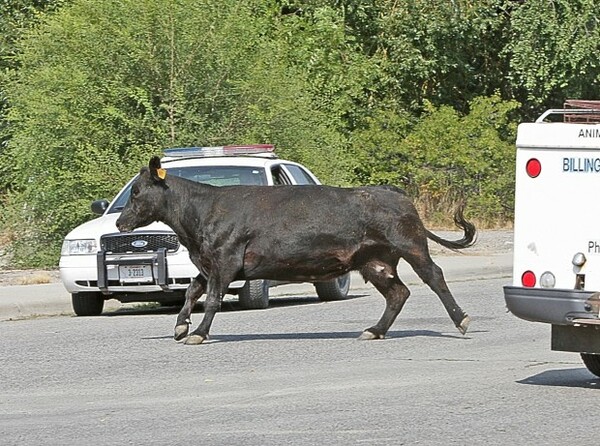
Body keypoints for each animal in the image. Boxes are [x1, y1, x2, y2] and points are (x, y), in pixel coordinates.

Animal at [115, 157, 476, 344]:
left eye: (137, 192)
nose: (119, 222)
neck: (200, 214)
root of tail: (393, 192)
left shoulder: (225, 260)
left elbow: (213, 299)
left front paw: (199, 333)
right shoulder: (208, 264)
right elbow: (192, 291)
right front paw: (180, 326)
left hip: (411, 245)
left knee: (434, 276)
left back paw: (461, 320)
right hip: (374, 260)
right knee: (398, 292)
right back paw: (374, 330)